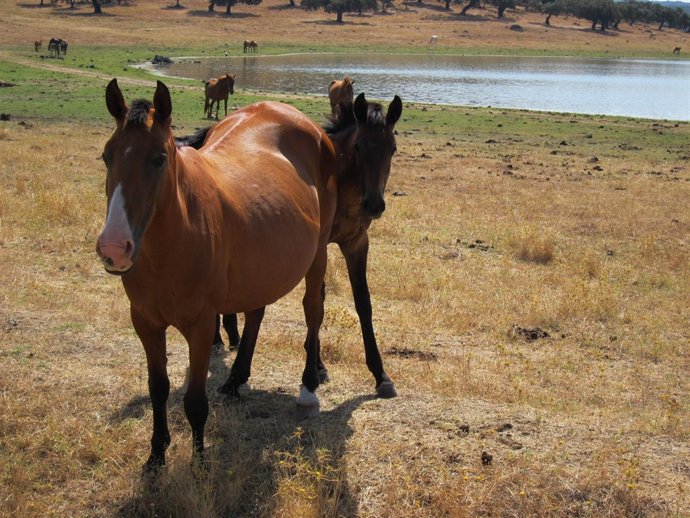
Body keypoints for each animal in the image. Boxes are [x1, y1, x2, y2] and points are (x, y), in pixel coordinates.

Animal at [97, 79, 337, 468]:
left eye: (159, 159)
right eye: (107, 156)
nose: (114, 247)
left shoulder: (201, 325)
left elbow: (195, 400)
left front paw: (198, 463)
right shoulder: (145, 322)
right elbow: (158, 388)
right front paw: (156, 455)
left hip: (317, 255)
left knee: (313, 310)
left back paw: (308, 389)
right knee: (256, 313)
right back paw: (236, 380)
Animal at [216, 92, 403, 400]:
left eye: (393, 149)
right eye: (359, 147)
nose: (374, 204)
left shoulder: (355, 243)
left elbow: (362, 303)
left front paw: (381, 375)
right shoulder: (320, 247)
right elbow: (319, 302)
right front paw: (318, 366)